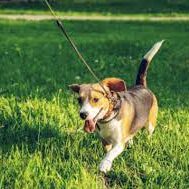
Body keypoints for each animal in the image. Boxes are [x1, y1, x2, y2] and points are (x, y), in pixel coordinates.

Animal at [69, 40, 164, 173]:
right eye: (79, 100)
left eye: (96, 99)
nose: (83, 114)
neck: (108, 118)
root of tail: (141, 85)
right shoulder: (105, 141)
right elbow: (107, 151)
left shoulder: (119, 143)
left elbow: (110, 154)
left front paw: (104, 164)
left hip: (150, 124)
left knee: (149, 133)